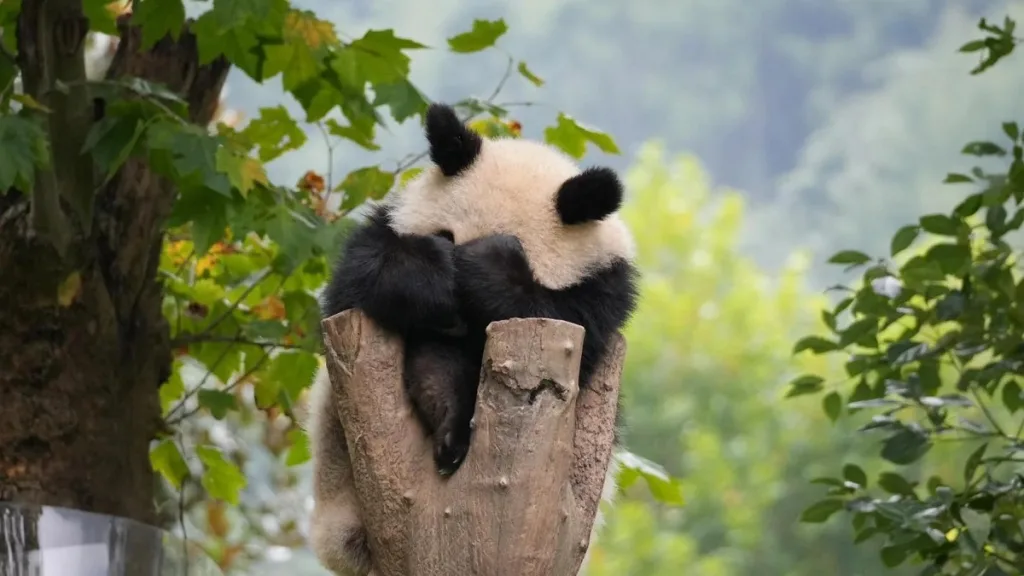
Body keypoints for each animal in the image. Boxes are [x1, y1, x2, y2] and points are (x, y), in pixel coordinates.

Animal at [306, 102, 639, 575]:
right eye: (444, 235)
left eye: (525, 254)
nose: (454, 323)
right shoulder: (385, 227)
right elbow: (360, 278)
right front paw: (432, 277)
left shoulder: (601, 293)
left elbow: (563, 321)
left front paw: (490, 266)